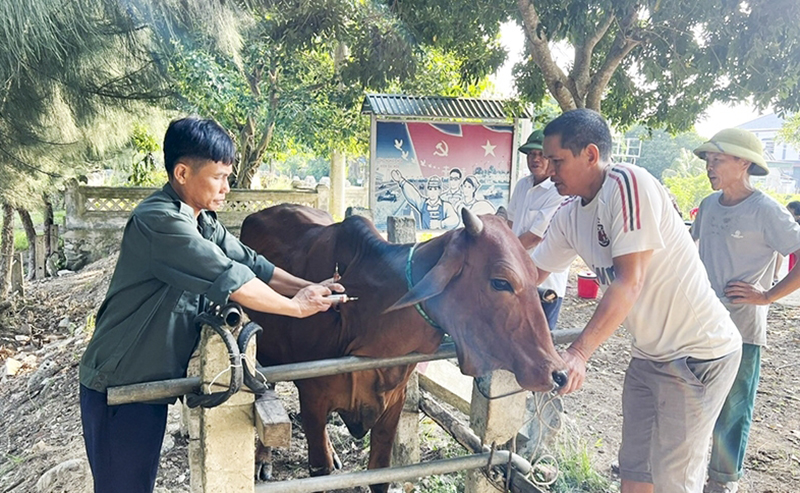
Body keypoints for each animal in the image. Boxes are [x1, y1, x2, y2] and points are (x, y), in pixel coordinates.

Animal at [239, 202, 568, 490]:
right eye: (501, 282)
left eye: (534, 274)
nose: (557, 373)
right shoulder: (313, 396)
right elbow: (319, 471)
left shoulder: (393, 402)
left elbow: (379, 475)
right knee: (266, 389)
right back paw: (263, 459)